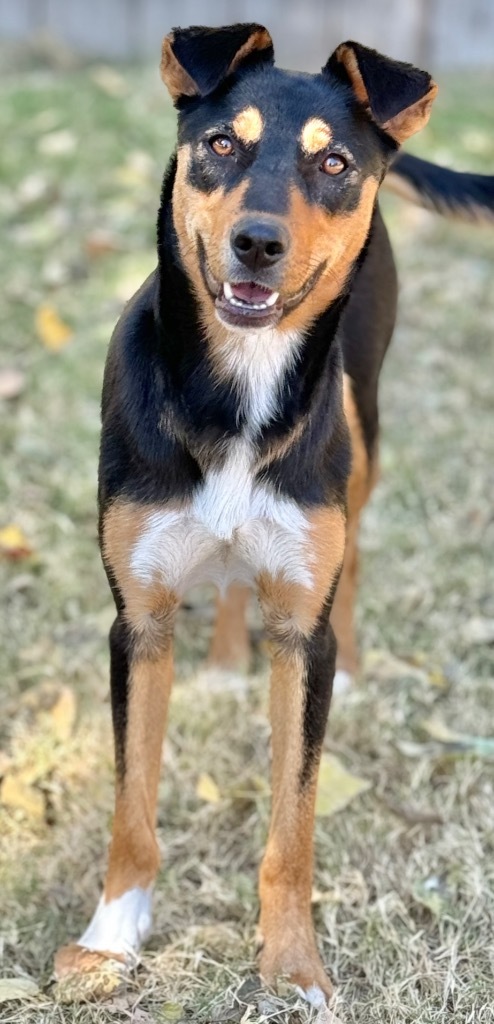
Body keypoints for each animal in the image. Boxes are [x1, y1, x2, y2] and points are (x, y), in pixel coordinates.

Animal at [53, 24, 494, 1007]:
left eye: (333, 163)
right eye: (222, 144)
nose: (257, 243)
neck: (238, 388)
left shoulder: (301, 632)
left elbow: (293, 827)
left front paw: (293, 966)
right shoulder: (137, 622)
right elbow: (132, 804)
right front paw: (110, 938)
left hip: (364, 439)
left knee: (354, 557)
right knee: (223, 580)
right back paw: (222, 659)